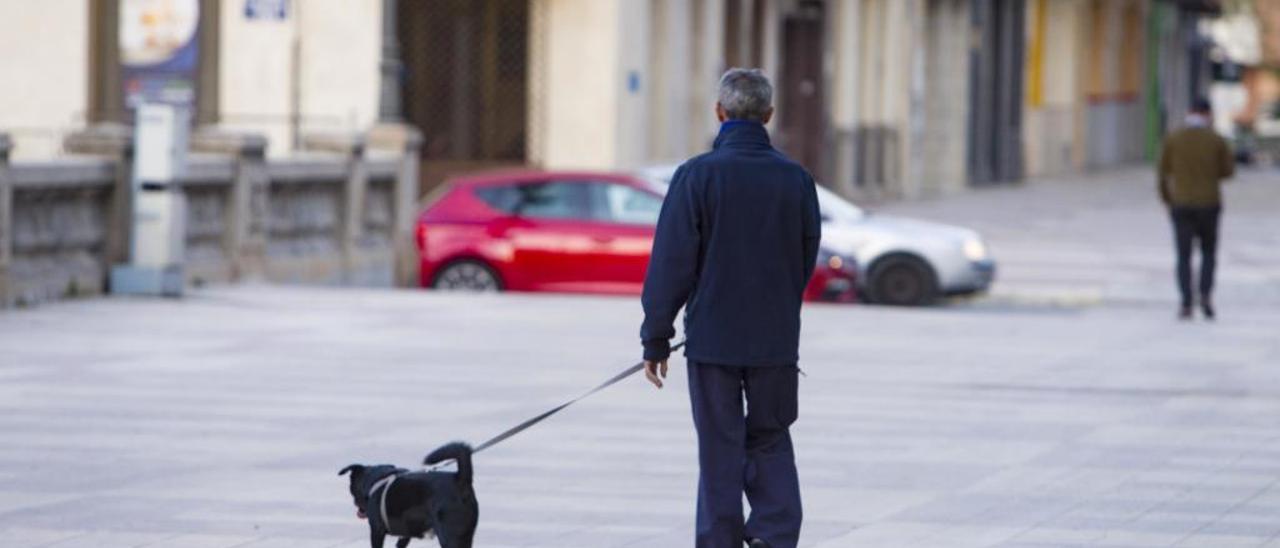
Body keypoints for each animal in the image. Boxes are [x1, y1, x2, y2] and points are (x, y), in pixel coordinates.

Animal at [337, 443, 478, 545]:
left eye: (352, 489)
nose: (356, 504)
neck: (376, 480)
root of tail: (460, 479)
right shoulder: (405, 534)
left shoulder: (377, 530)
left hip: (449, 535)